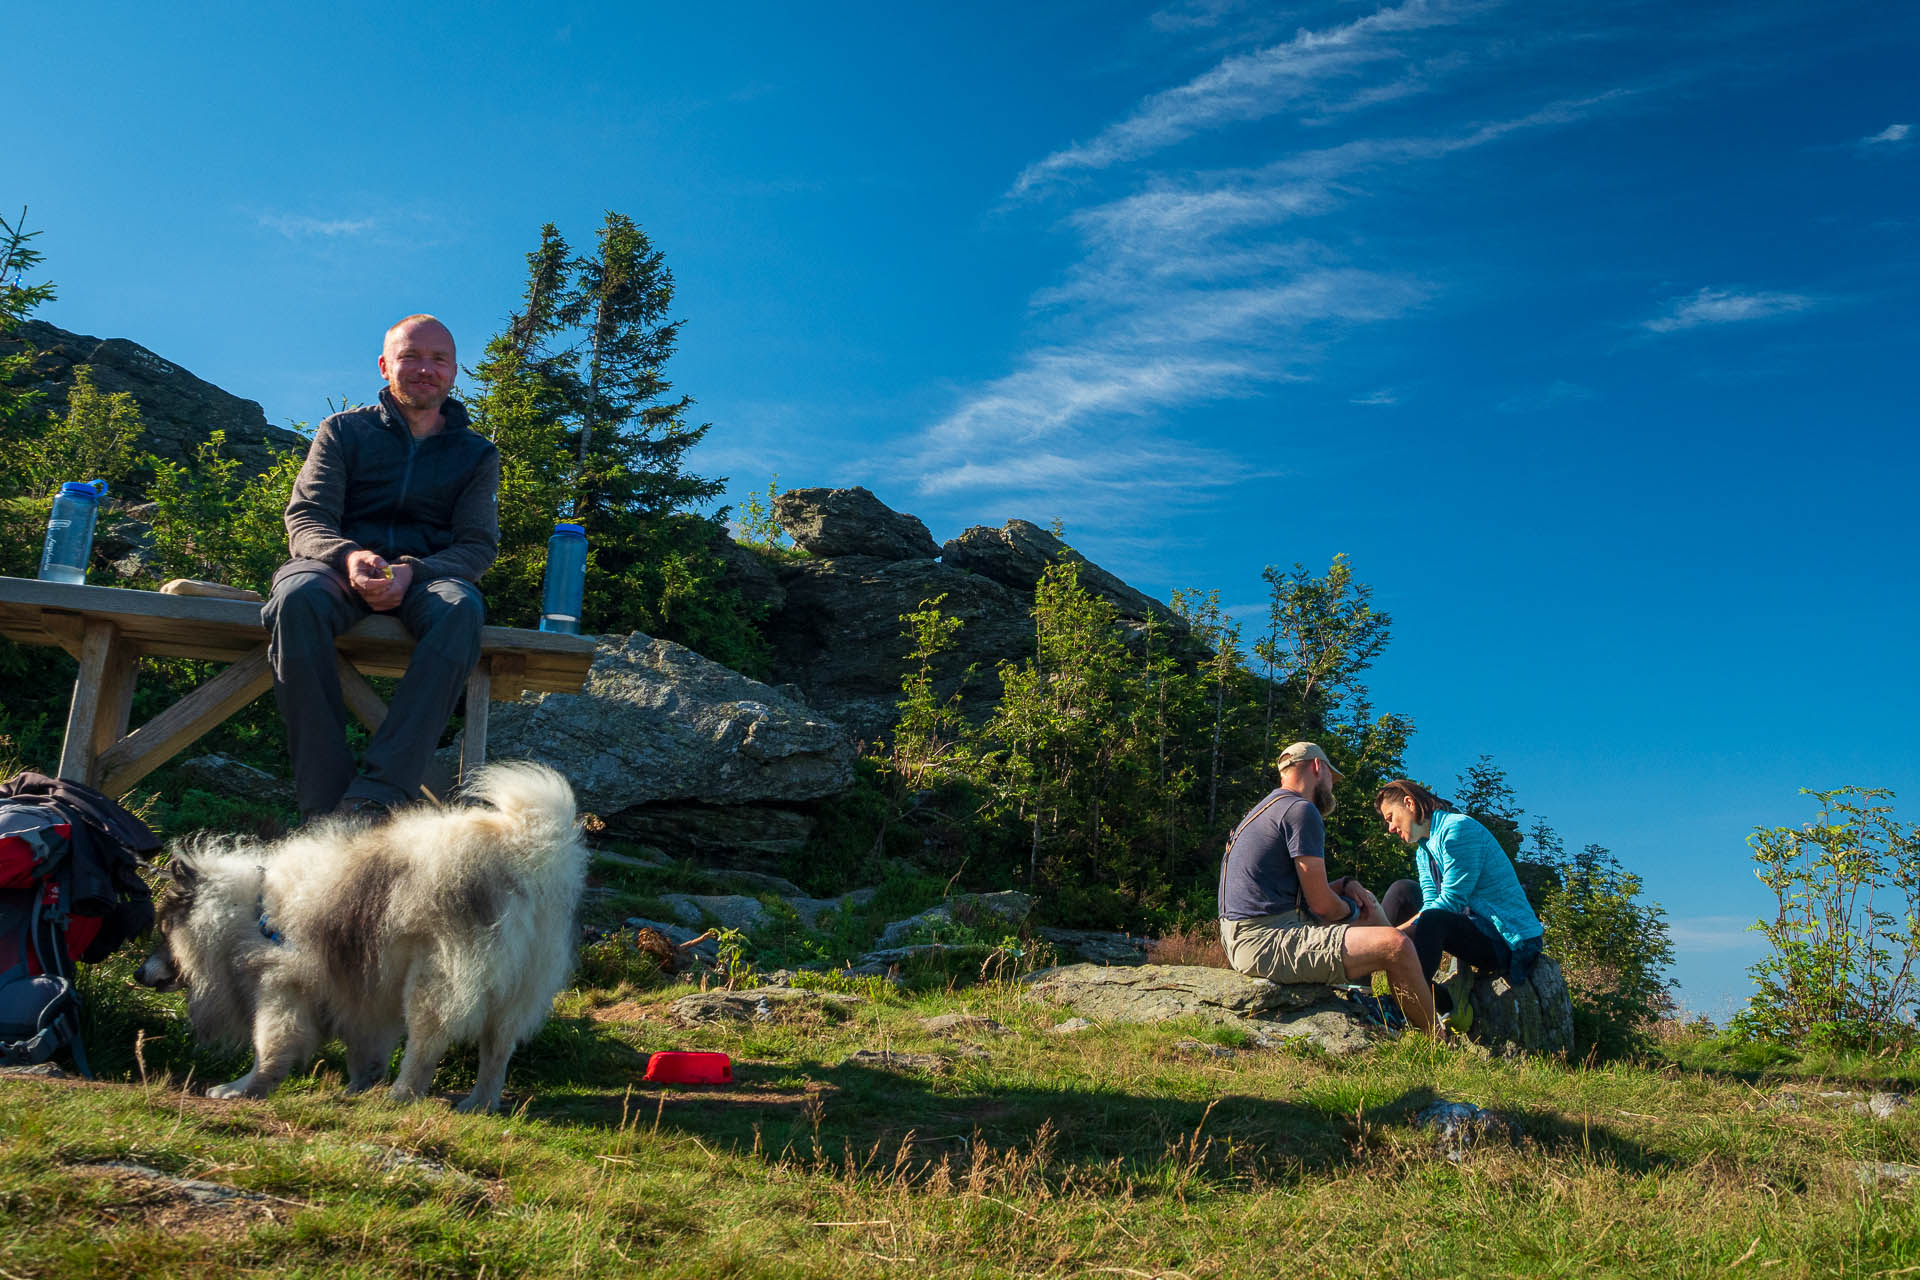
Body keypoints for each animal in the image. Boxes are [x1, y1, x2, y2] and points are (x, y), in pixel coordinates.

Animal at [138, 759, 587, 1113]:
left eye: (163, 930)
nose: (138, 973)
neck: (247, 910)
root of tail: (524, 853)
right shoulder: (360, 993)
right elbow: (364, 1048)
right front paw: (358, 1085)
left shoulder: (281, 987)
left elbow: (271, 1046)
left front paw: (242, 1088)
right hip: (514, 988)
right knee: (496, 1051)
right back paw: (478, 1103)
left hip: (436, 978)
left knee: (427, 1046)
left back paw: (402, 1095)